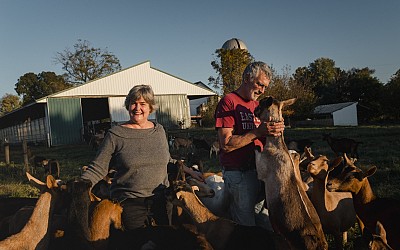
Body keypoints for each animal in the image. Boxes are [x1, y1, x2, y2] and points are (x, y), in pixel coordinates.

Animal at [255, 96, 330, 250]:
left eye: (260, 104)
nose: (254, 110)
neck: (278, 146)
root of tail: (317, 241)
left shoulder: (261, 168)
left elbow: (256, 154)